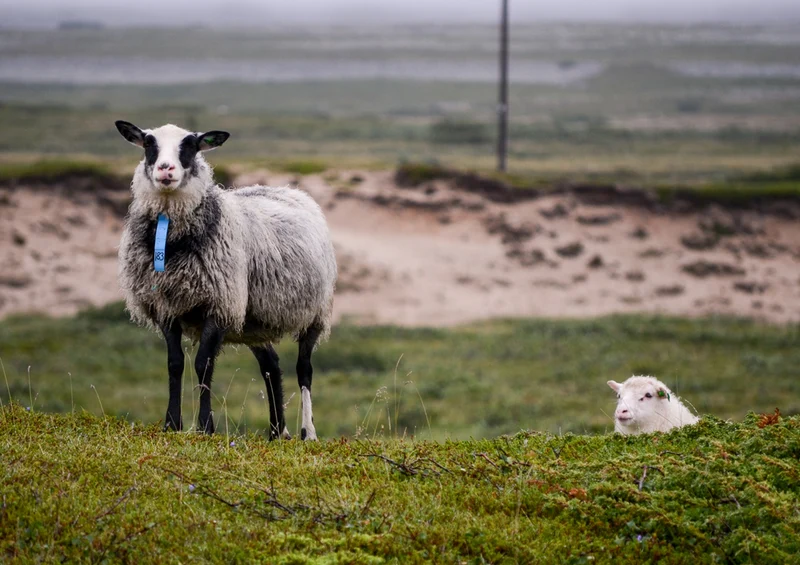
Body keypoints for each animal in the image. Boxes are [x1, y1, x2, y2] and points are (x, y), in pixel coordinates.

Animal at [114, 120, 337, 440]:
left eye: (190, 145)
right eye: (148, 143)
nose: (166, 169)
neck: (172, 238)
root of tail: (291, 190)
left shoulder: (218, 305)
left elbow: (203, 365)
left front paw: (205, 427)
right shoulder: (166, 307)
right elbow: (175, 364)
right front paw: (172, 424)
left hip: (314, 313)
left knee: (304, 368)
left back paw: (308, 432)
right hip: (254, 321)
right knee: (271, 366)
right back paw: (276, 432)